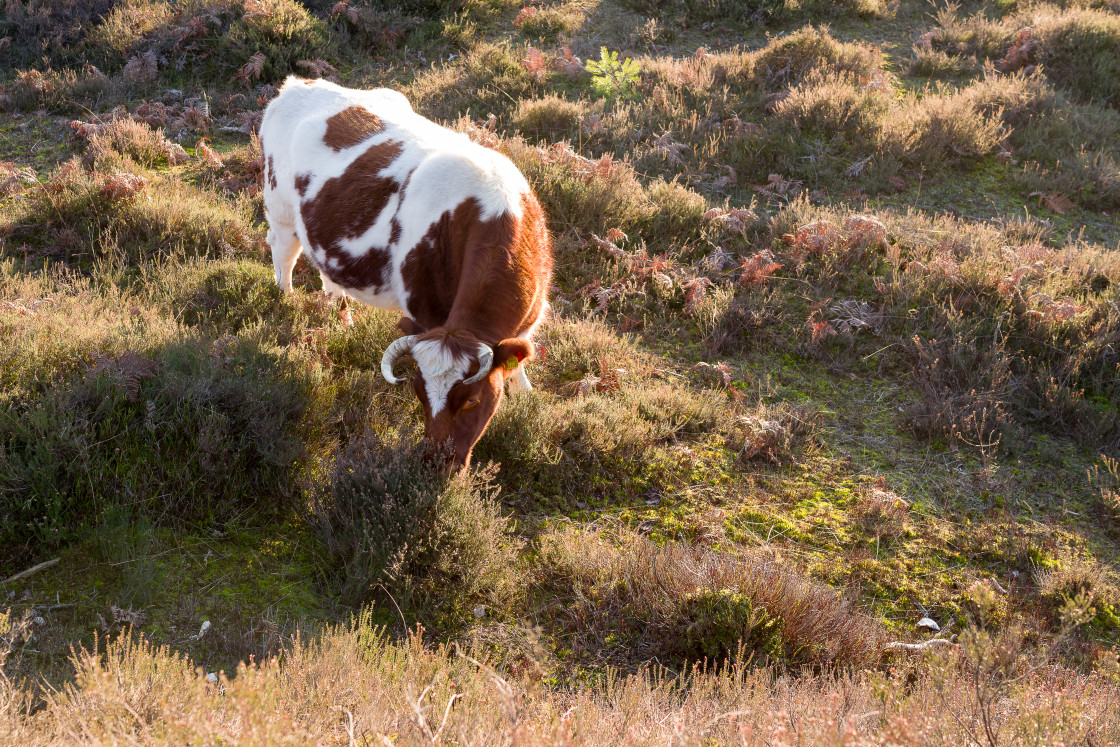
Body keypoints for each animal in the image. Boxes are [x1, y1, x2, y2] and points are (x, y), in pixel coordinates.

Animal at [255, 78, 551, 470]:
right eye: (419, 393)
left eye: (472, 399)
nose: (436, 463)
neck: (493, 210)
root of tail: (299, 84)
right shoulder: (426, 315)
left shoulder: (525, 322)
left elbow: (517, 366)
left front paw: (529, 402)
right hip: (281, 211)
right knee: (283, 255)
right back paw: (286, 299)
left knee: (329, 279)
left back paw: (342, 324)